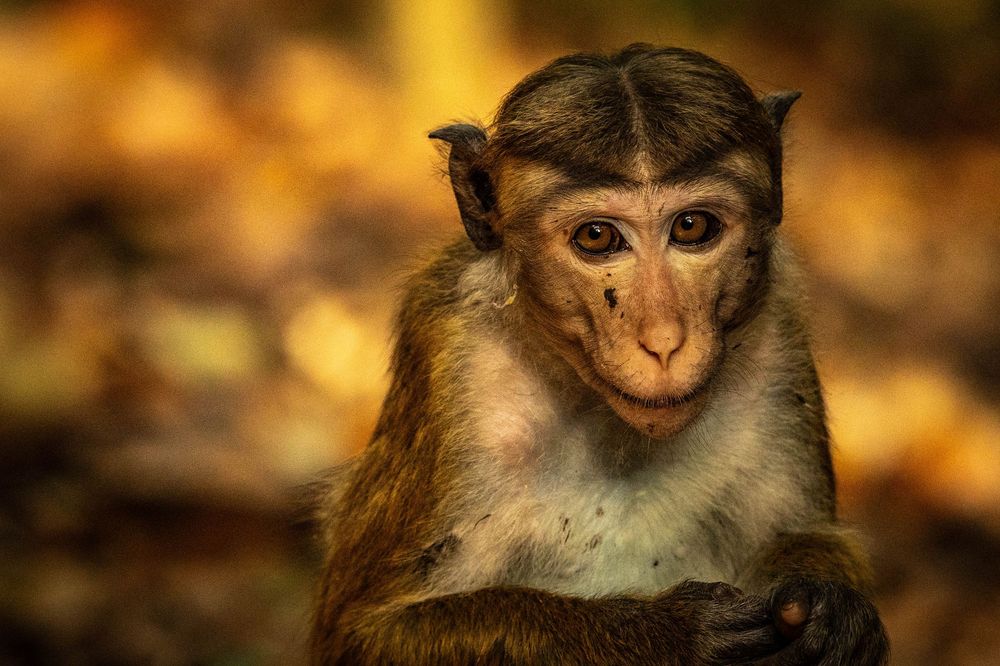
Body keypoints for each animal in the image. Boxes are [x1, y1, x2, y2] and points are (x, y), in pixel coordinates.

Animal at [311, 44, 889, 665]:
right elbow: (367, 634)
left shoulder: (778, 339)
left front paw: (832, 609)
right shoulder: (450, 363)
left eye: (692, 226)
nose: (663, 341)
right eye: (597, 237)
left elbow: (797, 536)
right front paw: (673, 632)